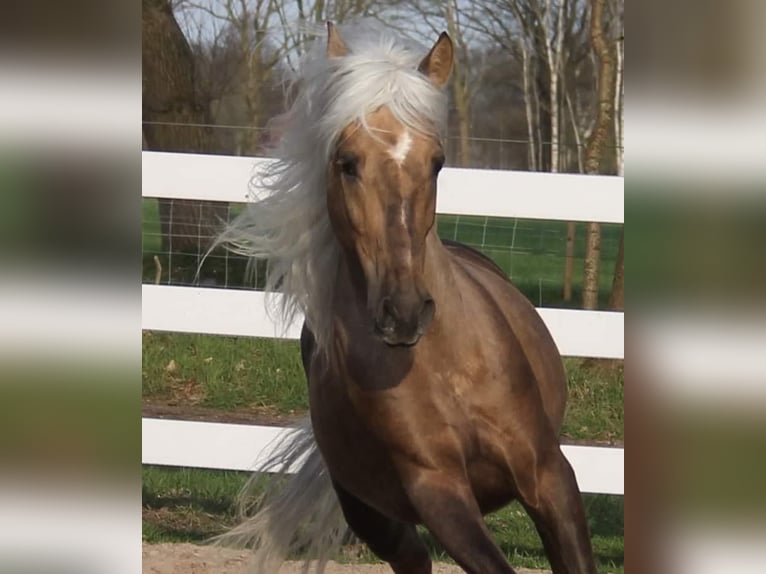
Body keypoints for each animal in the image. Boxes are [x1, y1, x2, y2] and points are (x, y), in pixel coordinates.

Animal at [216, 20, 600, 574]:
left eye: (436, 162)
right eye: (347, 162)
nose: (403, 313)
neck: (442, 366)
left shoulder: (549, 474)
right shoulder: (438, 491)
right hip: (377, 518)